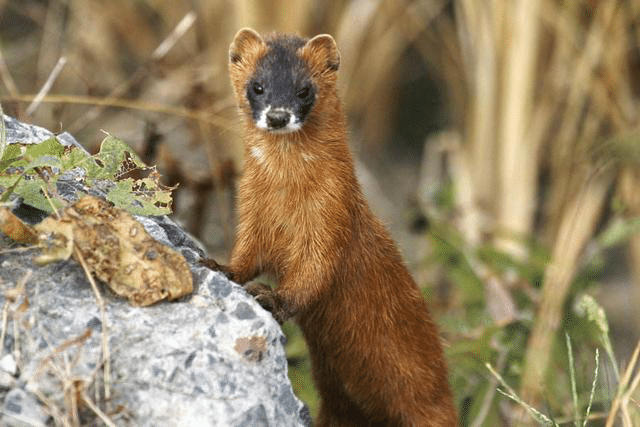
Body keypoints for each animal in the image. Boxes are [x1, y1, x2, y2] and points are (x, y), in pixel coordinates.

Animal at [218, 28, 458, 426]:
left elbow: (315, 271)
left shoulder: (331, 216)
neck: (285, 198)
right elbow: (247, 254)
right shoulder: (251, 211)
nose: (278, 115)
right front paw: (220, 268)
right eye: (257, 86)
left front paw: (271, 296)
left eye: (304, 90)